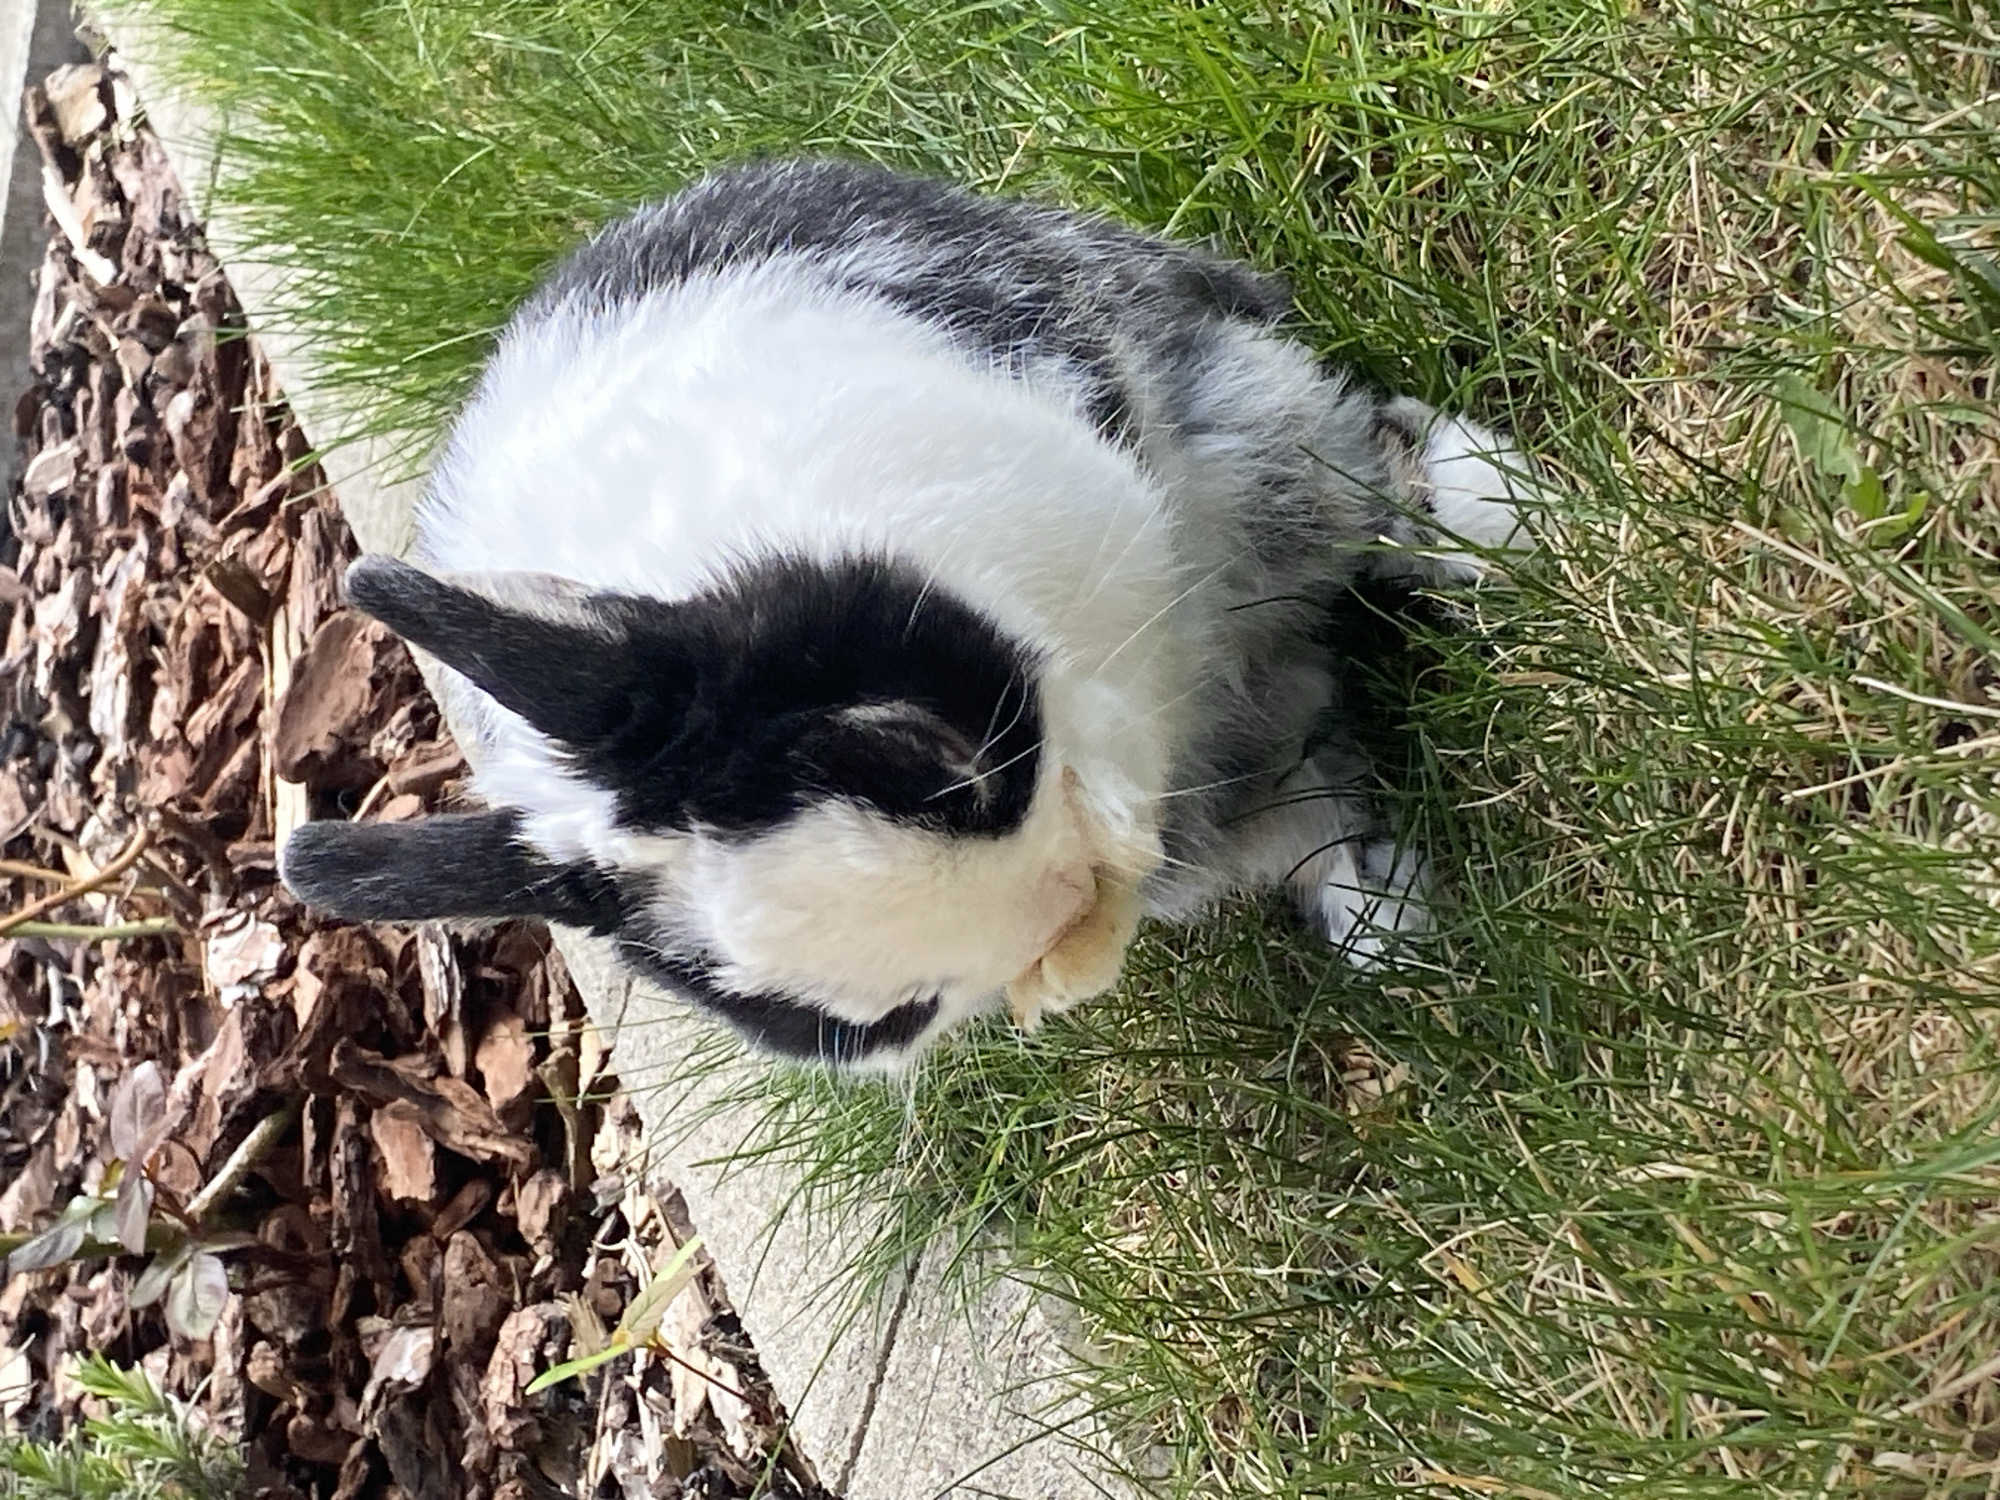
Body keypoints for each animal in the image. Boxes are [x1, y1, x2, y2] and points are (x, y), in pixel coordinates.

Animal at [279, 158, 1535, 1070]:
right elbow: (1290, 825)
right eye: (868, 1019)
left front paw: (1523, 527)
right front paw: (1385, 925)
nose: (1064, 913)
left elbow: (1377, 499)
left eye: (931, 759)